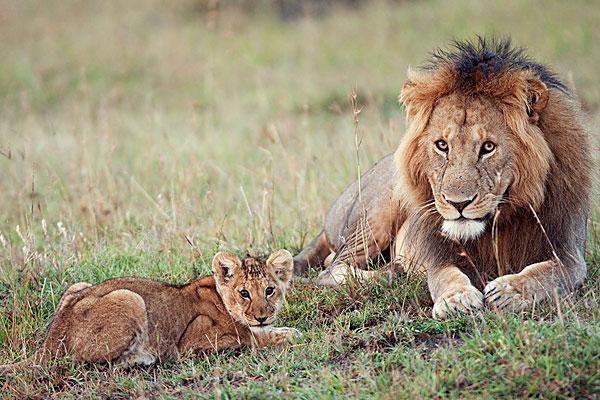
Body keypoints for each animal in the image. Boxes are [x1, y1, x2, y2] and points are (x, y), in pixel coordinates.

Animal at [292, 37, 592, 318]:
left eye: (488, 147)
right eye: (442, 145)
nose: (458, 204)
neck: (499, 221)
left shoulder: (568, 252)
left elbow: (547, 274)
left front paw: (510, 291)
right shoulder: (438, 255)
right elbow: (446, 276)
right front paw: (456, 299)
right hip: (375, 216)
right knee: (332, 268)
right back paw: (395, 272)